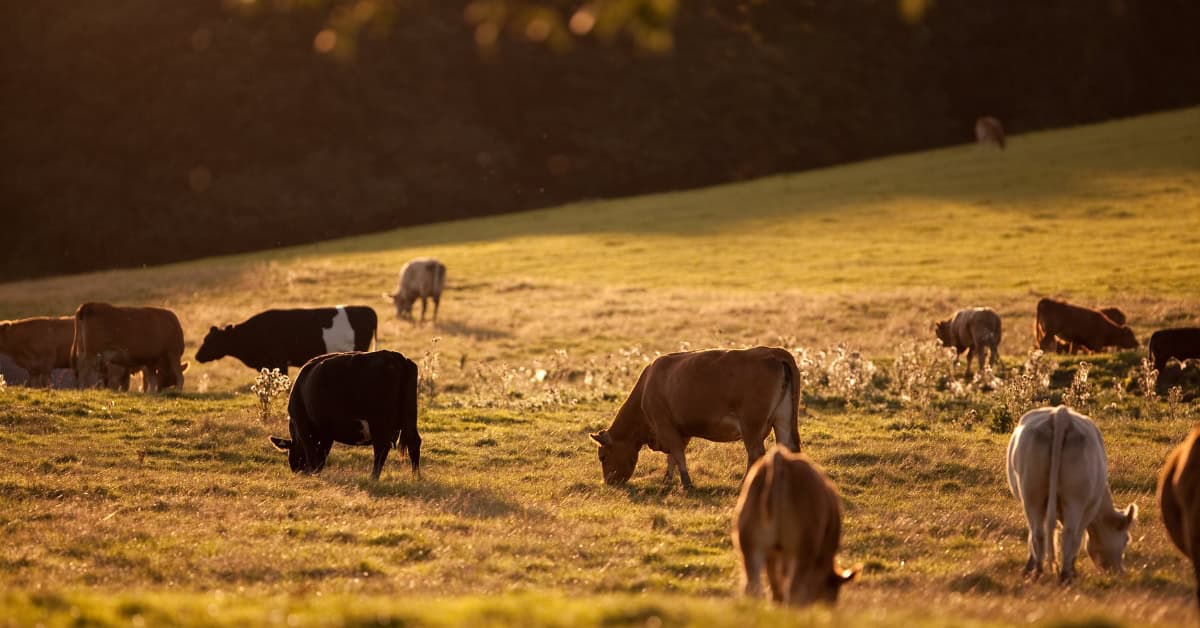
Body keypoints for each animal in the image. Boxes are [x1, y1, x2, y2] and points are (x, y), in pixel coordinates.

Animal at [268, 350, 421, 481]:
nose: (297, 471)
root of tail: (396, 357)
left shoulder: (302, 425)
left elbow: (312, 453)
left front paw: (312, 473)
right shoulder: (327, 432)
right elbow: (322, 454)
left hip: (380, 423)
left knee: (381, 448)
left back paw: (373, 478)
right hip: (409, 418)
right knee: (414, 442)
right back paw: (415, 478)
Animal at [589, 346, 802, 490]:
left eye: (602, 456)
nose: (609, 483)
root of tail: (772, 352)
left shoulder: (665, 426)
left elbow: (677, 455)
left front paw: (686, 484)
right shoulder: (681, 431)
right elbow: (673, 457)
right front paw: (667, 481)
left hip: (751, 427)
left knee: (755, 454)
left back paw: (744, 484)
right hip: (782, 420)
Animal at [733, 445, 857, 606]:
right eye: (832, 587)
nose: (829, 607)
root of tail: (782, 461)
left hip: (750, 547)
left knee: (754, 587)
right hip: (801, 552)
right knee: (793, 592)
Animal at [1006, 406, 1137, 583]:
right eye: (1126, 540)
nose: (1120, 572)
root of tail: (1061, 414)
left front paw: (1027, 568)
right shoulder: (1089, 509)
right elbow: (1079, 538)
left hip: (1032, 495)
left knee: (1038, 532)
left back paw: (1038, 572)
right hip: (1075, 500)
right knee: (1070, 534)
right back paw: (1066, 575)